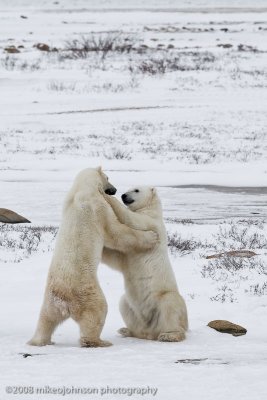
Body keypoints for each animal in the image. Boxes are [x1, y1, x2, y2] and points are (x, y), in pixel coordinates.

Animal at [28, 167, 158, 348]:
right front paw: (151, 237)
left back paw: (39, 340)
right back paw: (99, 341)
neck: (81, 189)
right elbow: (116, 232)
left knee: (46, 319)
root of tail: (64, 301)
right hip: (87, 292)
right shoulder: (97, 206)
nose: (115, 190)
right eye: (108, 178)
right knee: (98, 310)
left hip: (50, 301)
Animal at [102, 187, 188, 340]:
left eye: (136, 190)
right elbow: (116, 258)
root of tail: (152, 331)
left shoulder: (153, 222)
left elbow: (133, 219)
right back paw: (127, 330)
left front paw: (108, 198)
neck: (152, 208)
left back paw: (170, 335)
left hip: (163, 298)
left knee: (170, 303)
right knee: (123, 302)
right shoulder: (129, 255)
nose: (123, 195)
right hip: (136, 311)